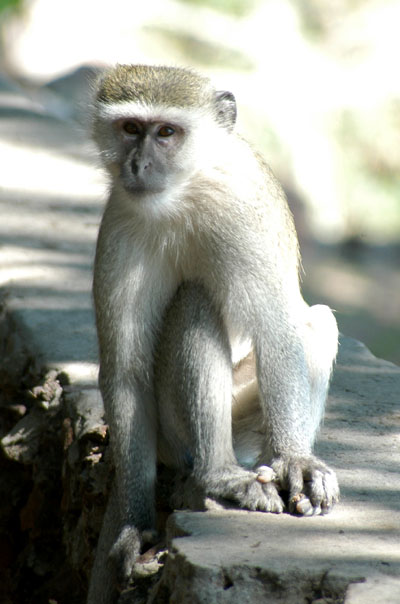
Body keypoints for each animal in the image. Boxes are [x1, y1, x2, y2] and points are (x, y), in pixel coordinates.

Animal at [86, 63, 338, 600]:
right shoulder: (121, 222)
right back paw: (216, 475)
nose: (137, 165)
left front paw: (296, 461)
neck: (188, 191)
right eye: (130, 128)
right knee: (195, 301)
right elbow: (126, 373)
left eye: (166, 132)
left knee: (315, 322)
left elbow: (278, 329)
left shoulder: (244, 215)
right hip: (169, 430)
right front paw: (133, 529)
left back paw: (267, 463)